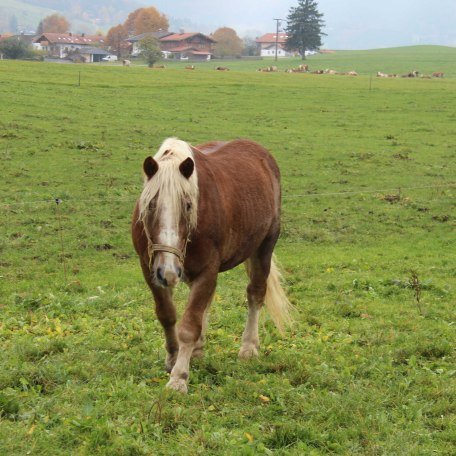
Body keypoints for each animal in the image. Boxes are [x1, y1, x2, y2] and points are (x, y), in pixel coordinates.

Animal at [132, 138, 292, 392]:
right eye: (150, 205)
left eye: (188, 205)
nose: (168, 272)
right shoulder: (150, 271)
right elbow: (167, 315)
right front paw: (173, 357)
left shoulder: (207, 270)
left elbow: (189, 326)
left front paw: (179, 377)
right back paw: (197, 351)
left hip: (264, 246)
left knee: (255, 294)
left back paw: (249, 347)